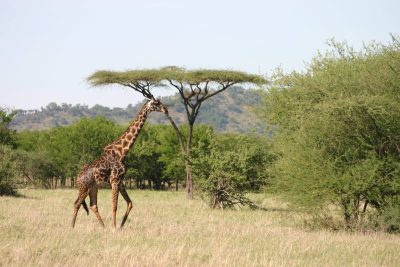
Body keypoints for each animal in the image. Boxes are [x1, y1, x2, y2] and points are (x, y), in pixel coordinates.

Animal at [72, 99, 169, 229]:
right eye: (156, 103)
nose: (166, 110)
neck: (122, 152)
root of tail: (77, 178)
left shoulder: (121, 182)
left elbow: (130, 203)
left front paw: (121, 226)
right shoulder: (115, 180)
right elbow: (114, 206)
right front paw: (114, 228)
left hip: (94, 188)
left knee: (93, 205)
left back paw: (103, 227)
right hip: (85, 188)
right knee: (77, 203)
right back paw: (72, 227)